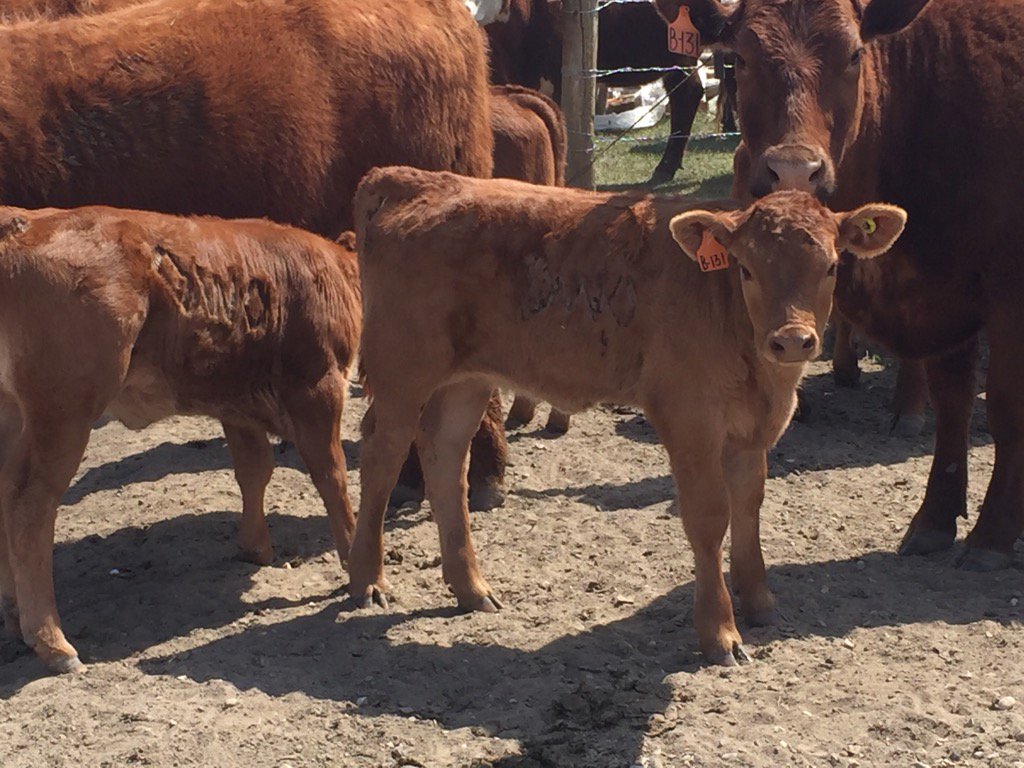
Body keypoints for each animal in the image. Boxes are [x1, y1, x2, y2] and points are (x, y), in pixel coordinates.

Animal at [0, 205, 363, 674]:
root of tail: (23, 224)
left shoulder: (237, 406)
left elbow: (254, 472)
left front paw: (256, 547)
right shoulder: (319, 389)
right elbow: (332, 478)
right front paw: (363, 573)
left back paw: (13, 615)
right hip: (63, 413)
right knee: (29, 505)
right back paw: (52, 642)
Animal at [348, 166, 906, 665]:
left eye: (831, 266)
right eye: (746, 268)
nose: (792, 340)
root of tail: (411, 178)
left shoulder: (748, 431)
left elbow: (750, 505)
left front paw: (760, 602)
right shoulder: (690, 420)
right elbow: (710, 517)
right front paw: (720, 633)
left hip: (469, 378)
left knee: (445, 456)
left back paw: (470, 588)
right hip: (402, 370)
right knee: (382, 455)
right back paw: (367, 580)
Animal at [656, 0, 1024, 569]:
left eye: (853, 54)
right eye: (740, 58)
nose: (792, 170)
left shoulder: (1007, 294)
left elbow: (1006, 408)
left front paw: (994, 535)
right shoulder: (944, 298)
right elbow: (952, 404)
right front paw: (935, 519)